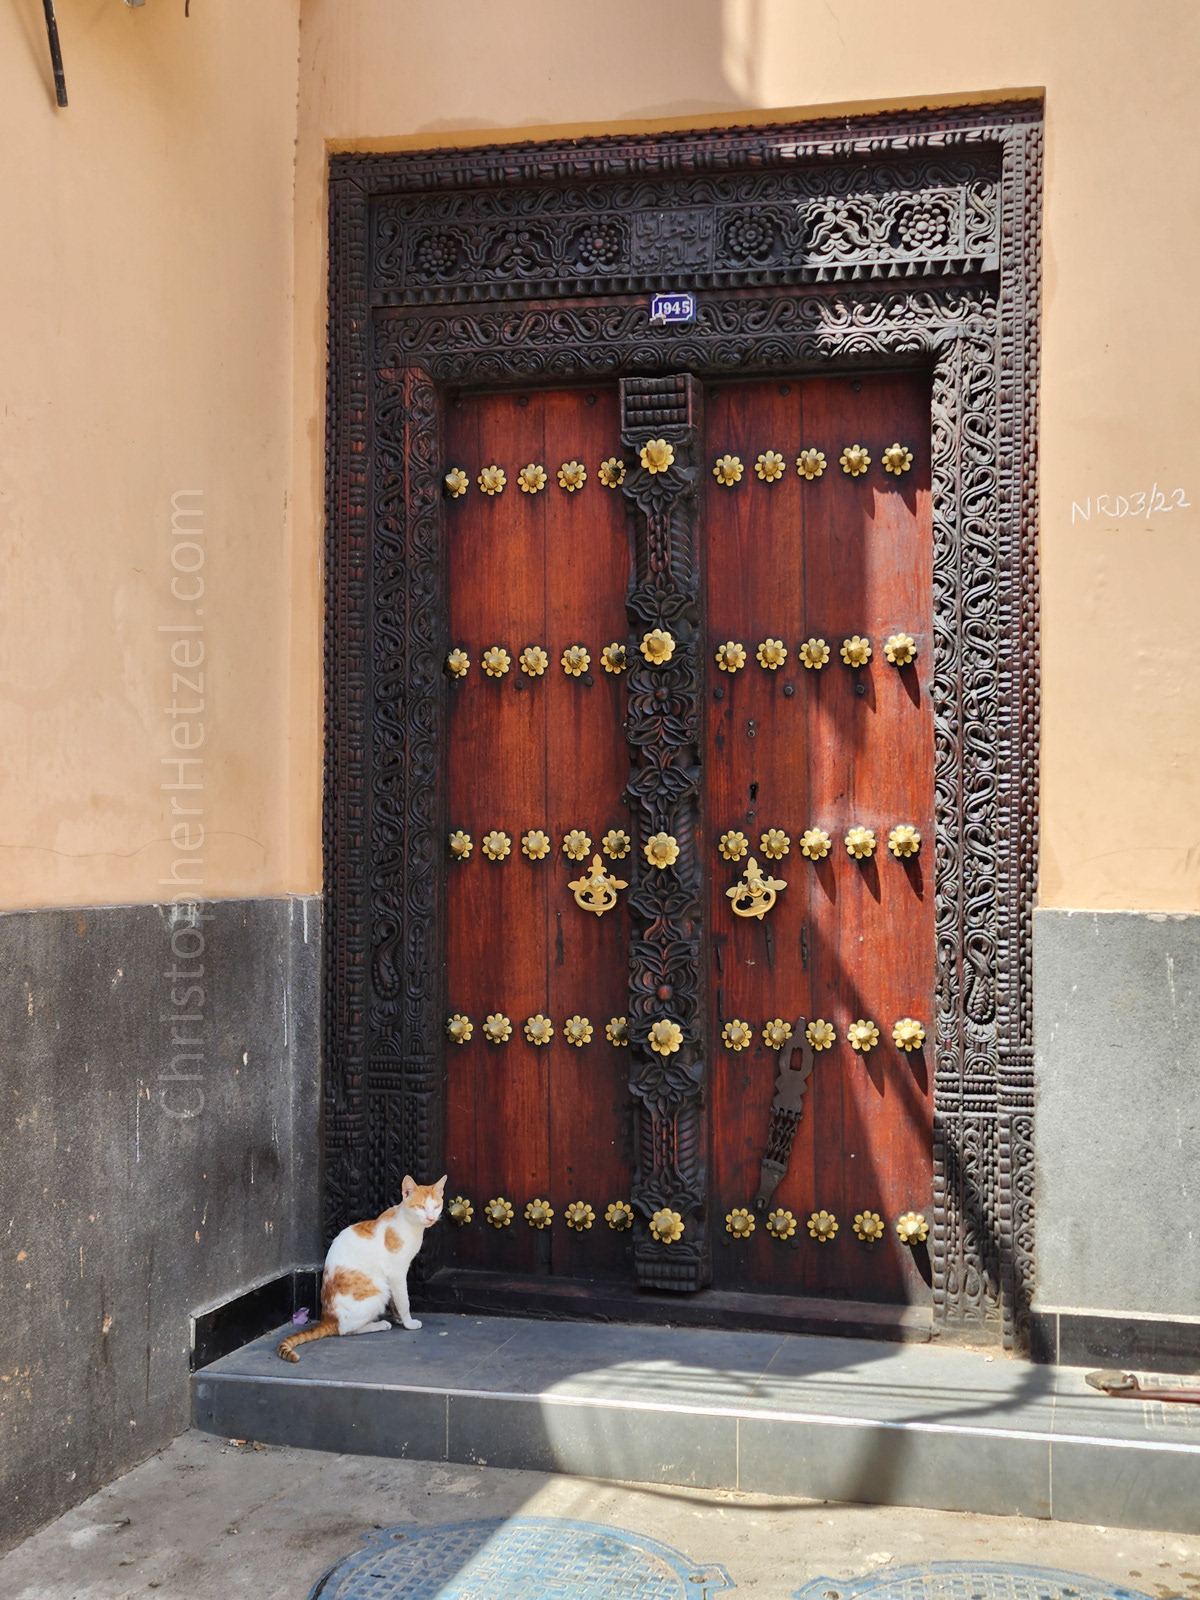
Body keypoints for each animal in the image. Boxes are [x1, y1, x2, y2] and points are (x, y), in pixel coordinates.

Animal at [280, 1177, 448, 1363]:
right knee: (345, 1329)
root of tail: (328, 1318)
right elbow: (403, 1300)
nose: (431, 1217)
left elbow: (395, 1301)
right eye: (420, 1206)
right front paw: (408, 1323)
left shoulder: (392, 1277)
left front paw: (398, 1318)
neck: (409, 1225)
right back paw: (379, 1324)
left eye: (436, 1206)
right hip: (379, 1290)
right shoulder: (396, 1274)